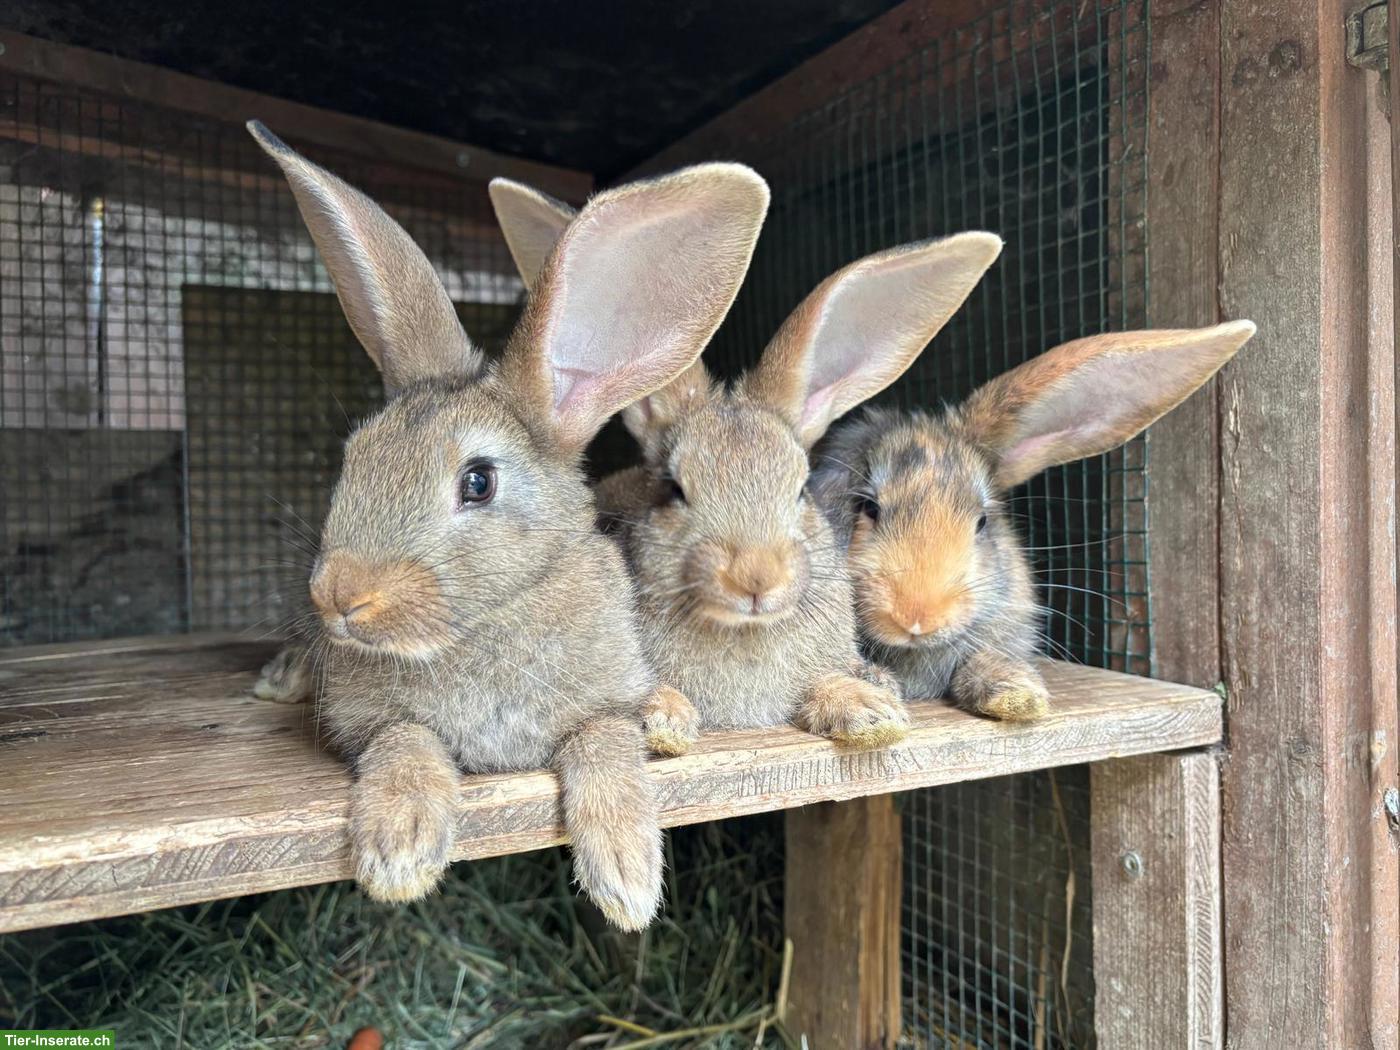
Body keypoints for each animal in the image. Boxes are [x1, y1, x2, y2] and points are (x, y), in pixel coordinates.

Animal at [245, 120, 769, 928]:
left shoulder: (609, 703)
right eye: (354, 457)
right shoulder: (373, 718)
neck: (492, 618)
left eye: (478, 482)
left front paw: (625, 875)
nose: (340, 596)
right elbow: (404, 741)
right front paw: (400, 848)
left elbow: (605, 744)